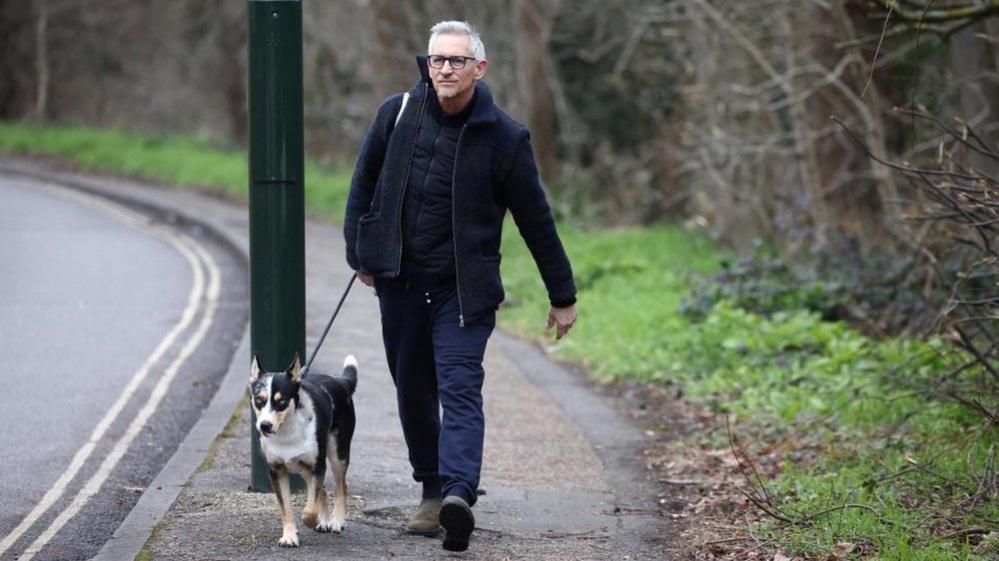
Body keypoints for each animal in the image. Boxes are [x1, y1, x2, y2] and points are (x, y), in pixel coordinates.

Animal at [248, 352, 358, 544]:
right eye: (258, 400)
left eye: (282, 401)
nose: (265, 426)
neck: (287, 430)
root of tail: (340, 382)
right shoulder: (277, 470)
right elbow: (286, 507)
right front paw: (289, 536)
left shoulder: (317, 466)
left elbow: (310, 509)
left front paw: (311, 520)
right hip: (305, 469)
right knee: (322, 490)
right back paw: (325, 521)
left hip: (338, 454)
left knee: (340, 487)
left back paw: (337, 521)